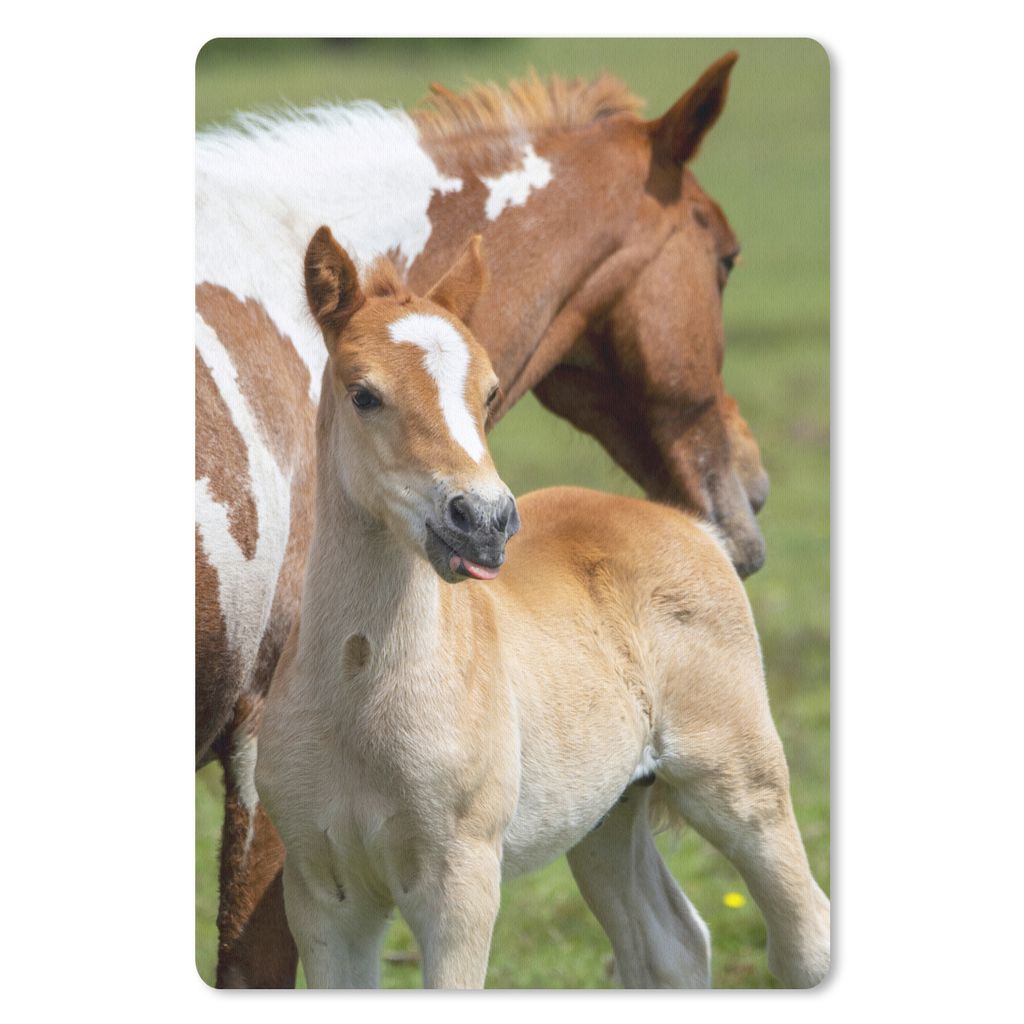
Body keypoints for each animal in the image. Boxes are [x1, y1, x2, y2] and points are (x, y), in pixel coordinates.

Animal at [254, 227, 829, 989]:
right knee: (671, 944)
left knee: (805, 936)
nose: (485, 521)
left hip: (740, 782)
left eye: (491, 391)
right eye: (364, 394)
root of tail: (691, 525)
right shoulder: (325, 895)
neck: (359, 687)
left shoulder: (461, 881)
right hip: (607, 812)